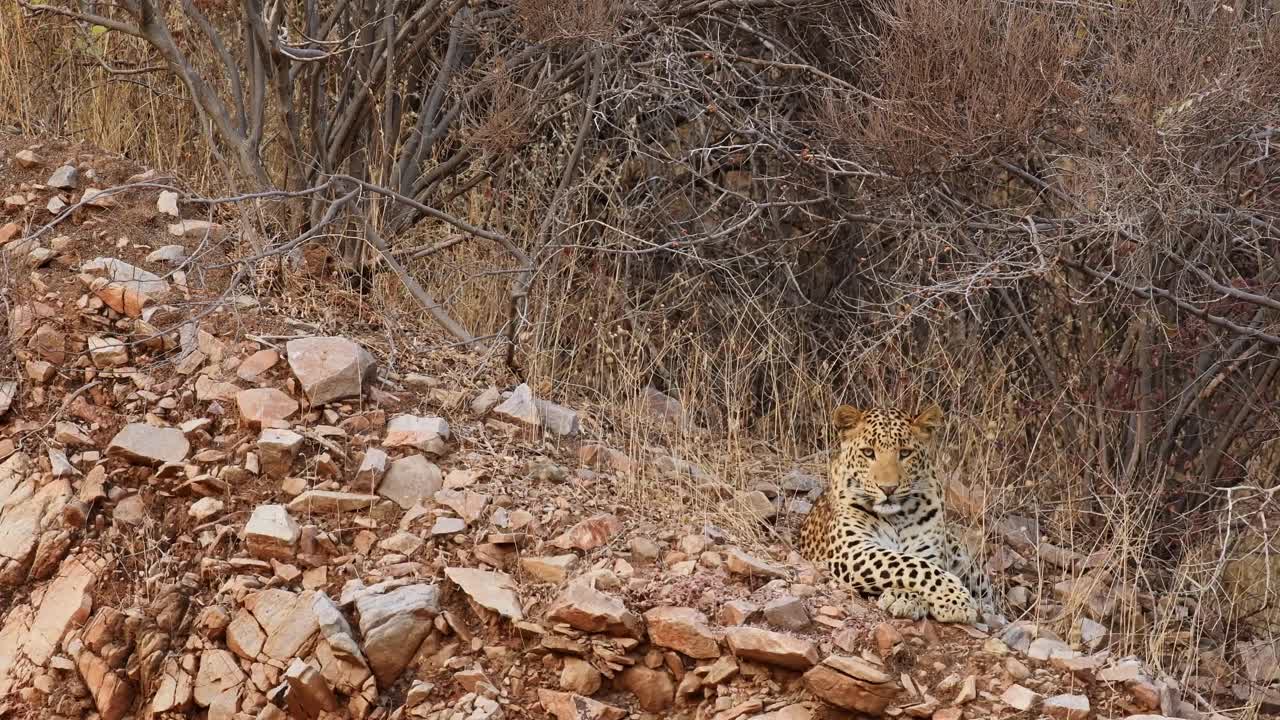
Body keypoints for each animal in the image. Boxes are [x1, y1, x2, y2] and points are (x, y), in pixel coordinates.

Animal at [793, 399, 993, 620]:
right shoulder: (852, 549)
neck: (898, 516)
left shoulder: (928, 551)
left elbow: (921, 565)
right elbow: (909, 564)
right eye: (868, 452)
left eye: (905, 453)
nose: (888, 488)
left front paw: (910, 598)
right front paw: (954, 599)